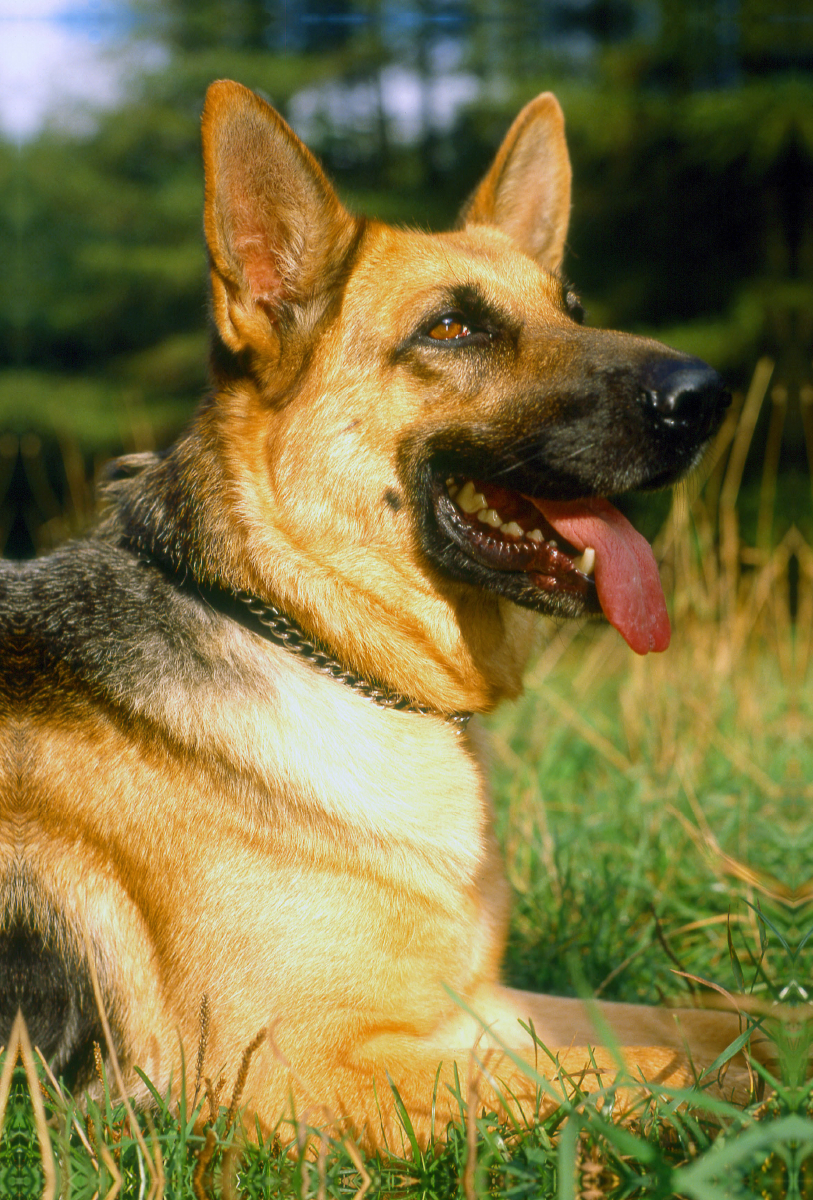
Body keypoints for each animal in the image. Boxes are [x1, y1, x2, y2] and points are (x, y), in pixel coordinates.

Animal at [1, 82, 762, 1142]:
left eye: (572, 310)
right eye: (451, 329)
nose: (706, 397)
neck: (303, 633)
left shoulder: (470, 1004)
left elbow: (725, 1020)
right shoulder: (307, 1067)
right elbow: (683, 1071)